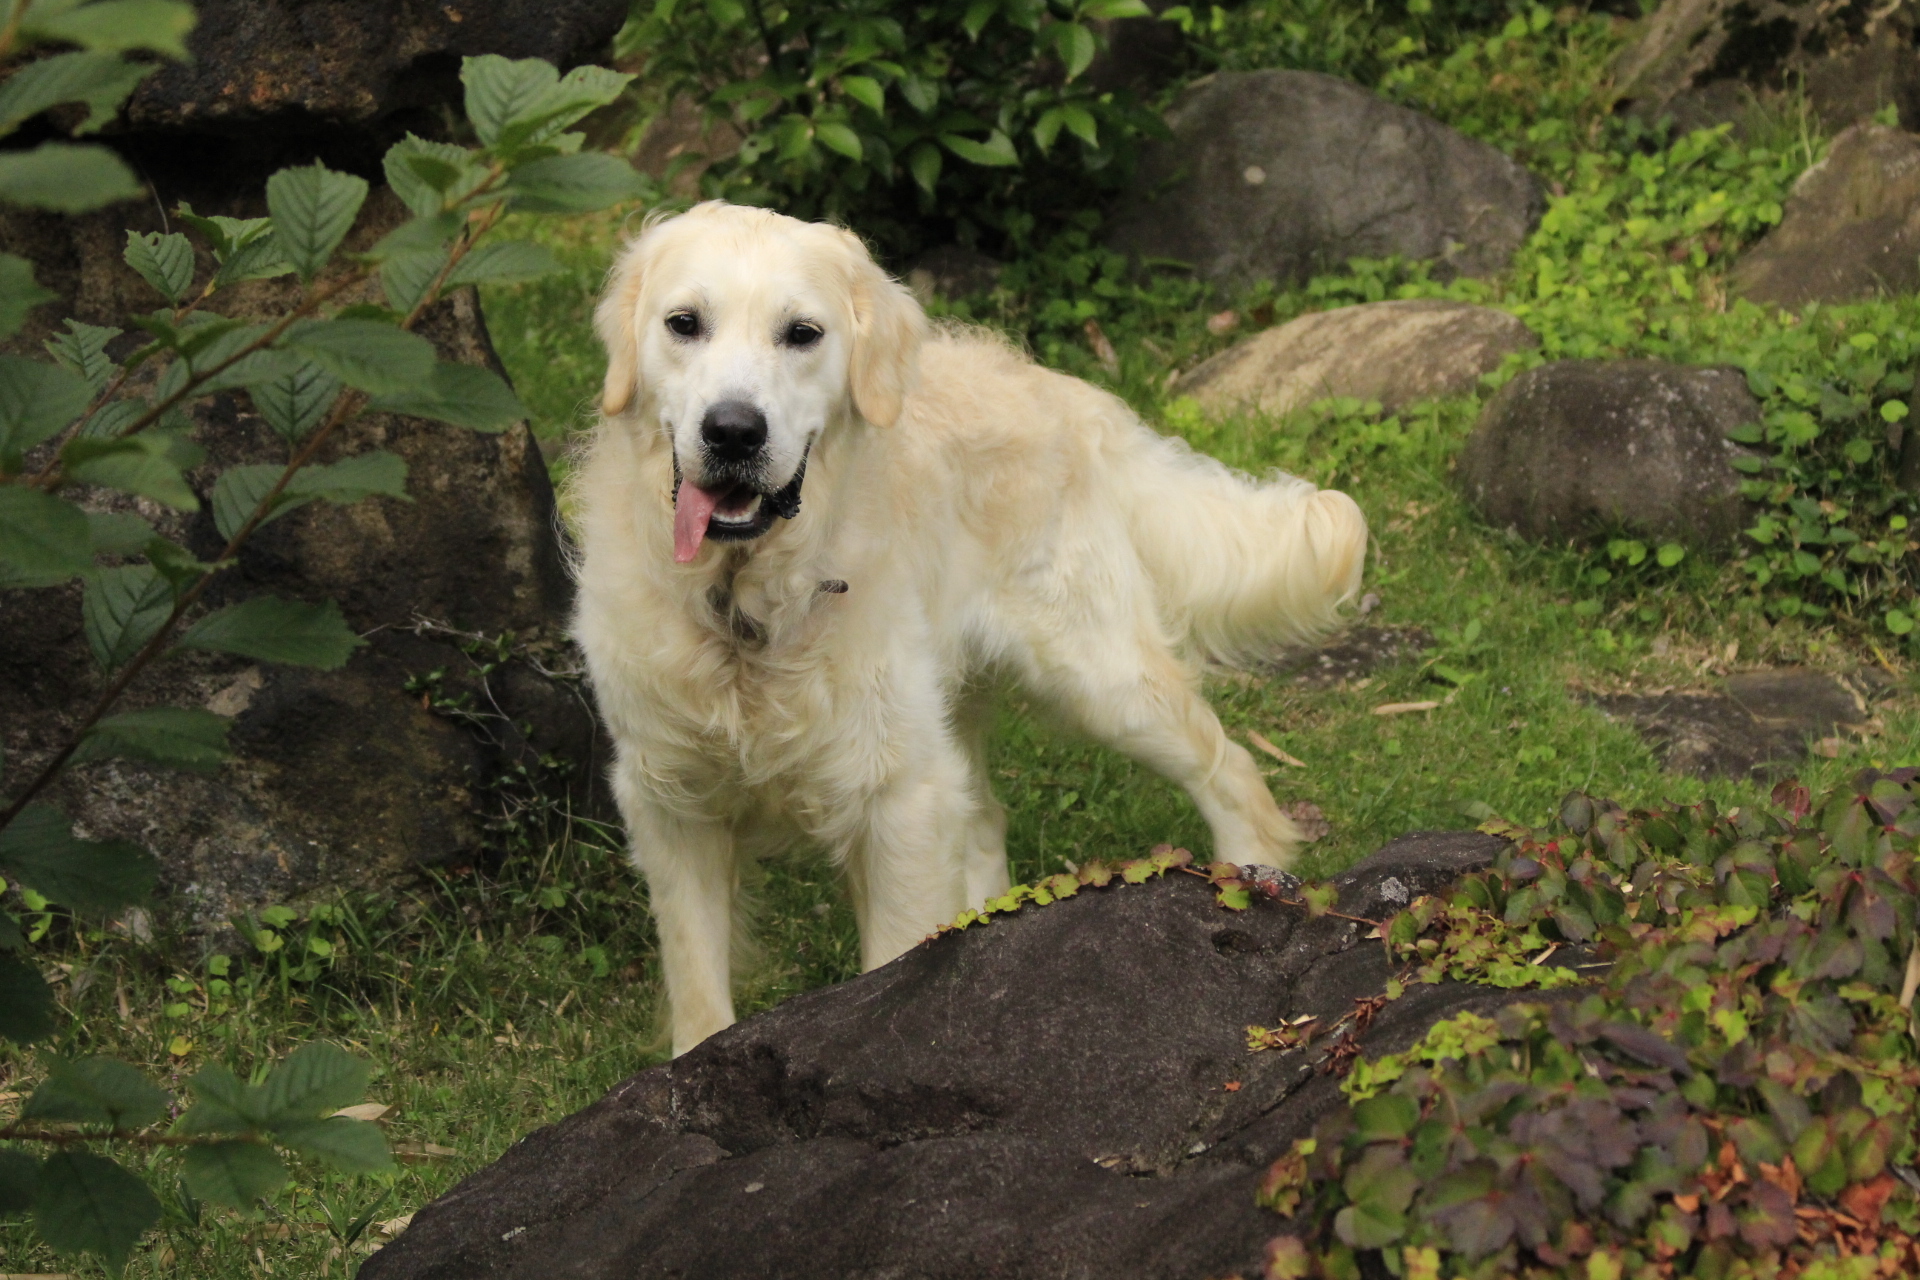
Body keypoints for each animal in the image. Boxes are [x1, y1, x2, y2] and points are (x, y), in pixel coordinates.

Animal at [568, 202, 1367, 1059]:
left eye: (802, 333)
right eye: (684, 323)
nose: (733, 432)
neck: (745, 604)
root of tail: (1070, 394)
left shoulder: (899, 798)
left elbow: (888, 958)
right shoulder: (670, 802)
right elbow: (698, 990)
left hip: (1100, 678)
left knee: (1231, 772)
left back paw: (1250, 881)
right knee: (986, 823)